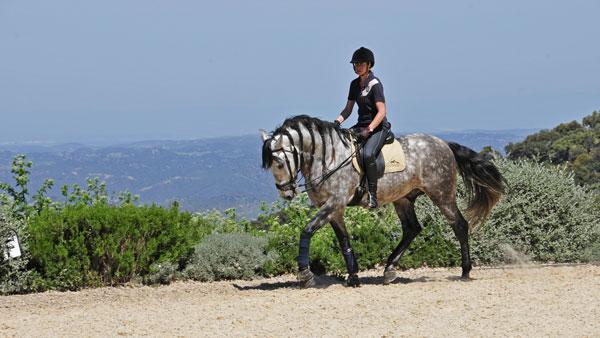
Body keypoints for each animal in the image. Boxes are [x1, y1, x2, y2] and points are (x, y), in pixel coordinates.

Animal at [262, 115, 506, 286]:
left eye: (280, 163)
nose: (286, 194)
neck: (328, 158)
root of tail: (444, 144)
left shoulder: (334, 203)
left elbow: (307, 230)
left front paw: (305, 275)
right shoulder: (333, 209)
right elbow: (344, 241)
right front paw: (353, 276)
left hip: (441, 194)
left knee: (459, 224)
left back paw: (465, 271)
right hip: (403, 199)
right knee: (412, 229)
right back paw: (389, 270)